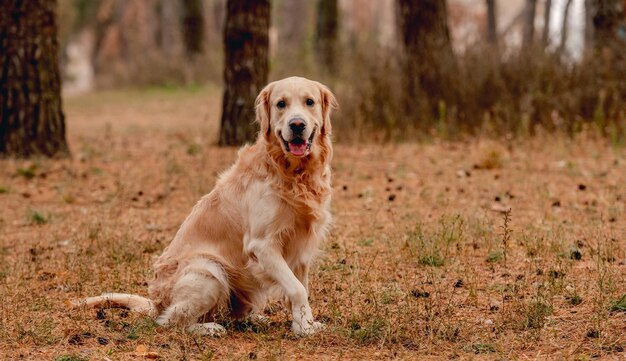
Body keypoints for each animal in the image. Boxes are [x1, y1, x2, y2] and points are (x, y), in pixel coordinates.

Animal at [74, 76, 336, 338]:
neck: (292, 174)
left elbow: (301, 287)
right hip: (208, 271)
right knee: (170, 321)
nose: (297, 125)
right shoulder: (263, 245)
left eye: (309, 102)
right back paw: (208, 328)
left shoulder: (301, 245)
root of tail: (156, 302)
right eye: (281, 104)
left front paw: (306, 323)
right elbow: (296, 289)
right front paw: (304, 328)